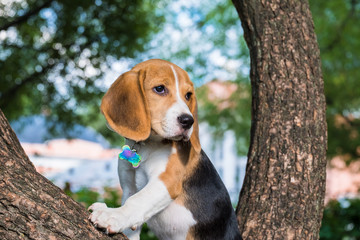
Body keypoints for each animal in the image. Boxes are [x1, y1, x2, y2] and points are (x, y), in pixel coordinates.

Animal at [89, 58, 242, 240]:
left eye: (188, 95)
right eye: (160, 89)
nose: (188, 121)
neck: (147, 146)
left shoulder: (167, 180)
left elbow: (138, 201)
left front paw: (112, 215)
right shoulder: (129, 187)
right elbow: (131, 208)